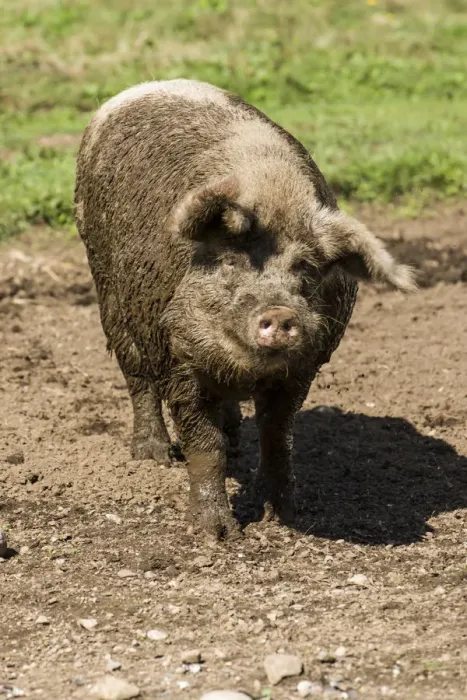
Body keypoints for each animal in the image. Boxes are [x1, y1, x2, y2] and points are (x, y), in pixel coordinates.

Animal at [74, 79, 415, 539]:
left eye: (306, 269)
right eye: (232, 262)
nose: (281, 312)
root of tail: (139, 88)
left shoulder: (304, 367)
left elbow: (277, 435)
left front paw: (285, 516)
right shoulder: (177, 359)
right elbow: (204, 445)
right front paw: (217, 534)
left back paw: (234, 437)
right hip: (108, 288)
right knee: (136, 376)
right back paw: (153, 455)